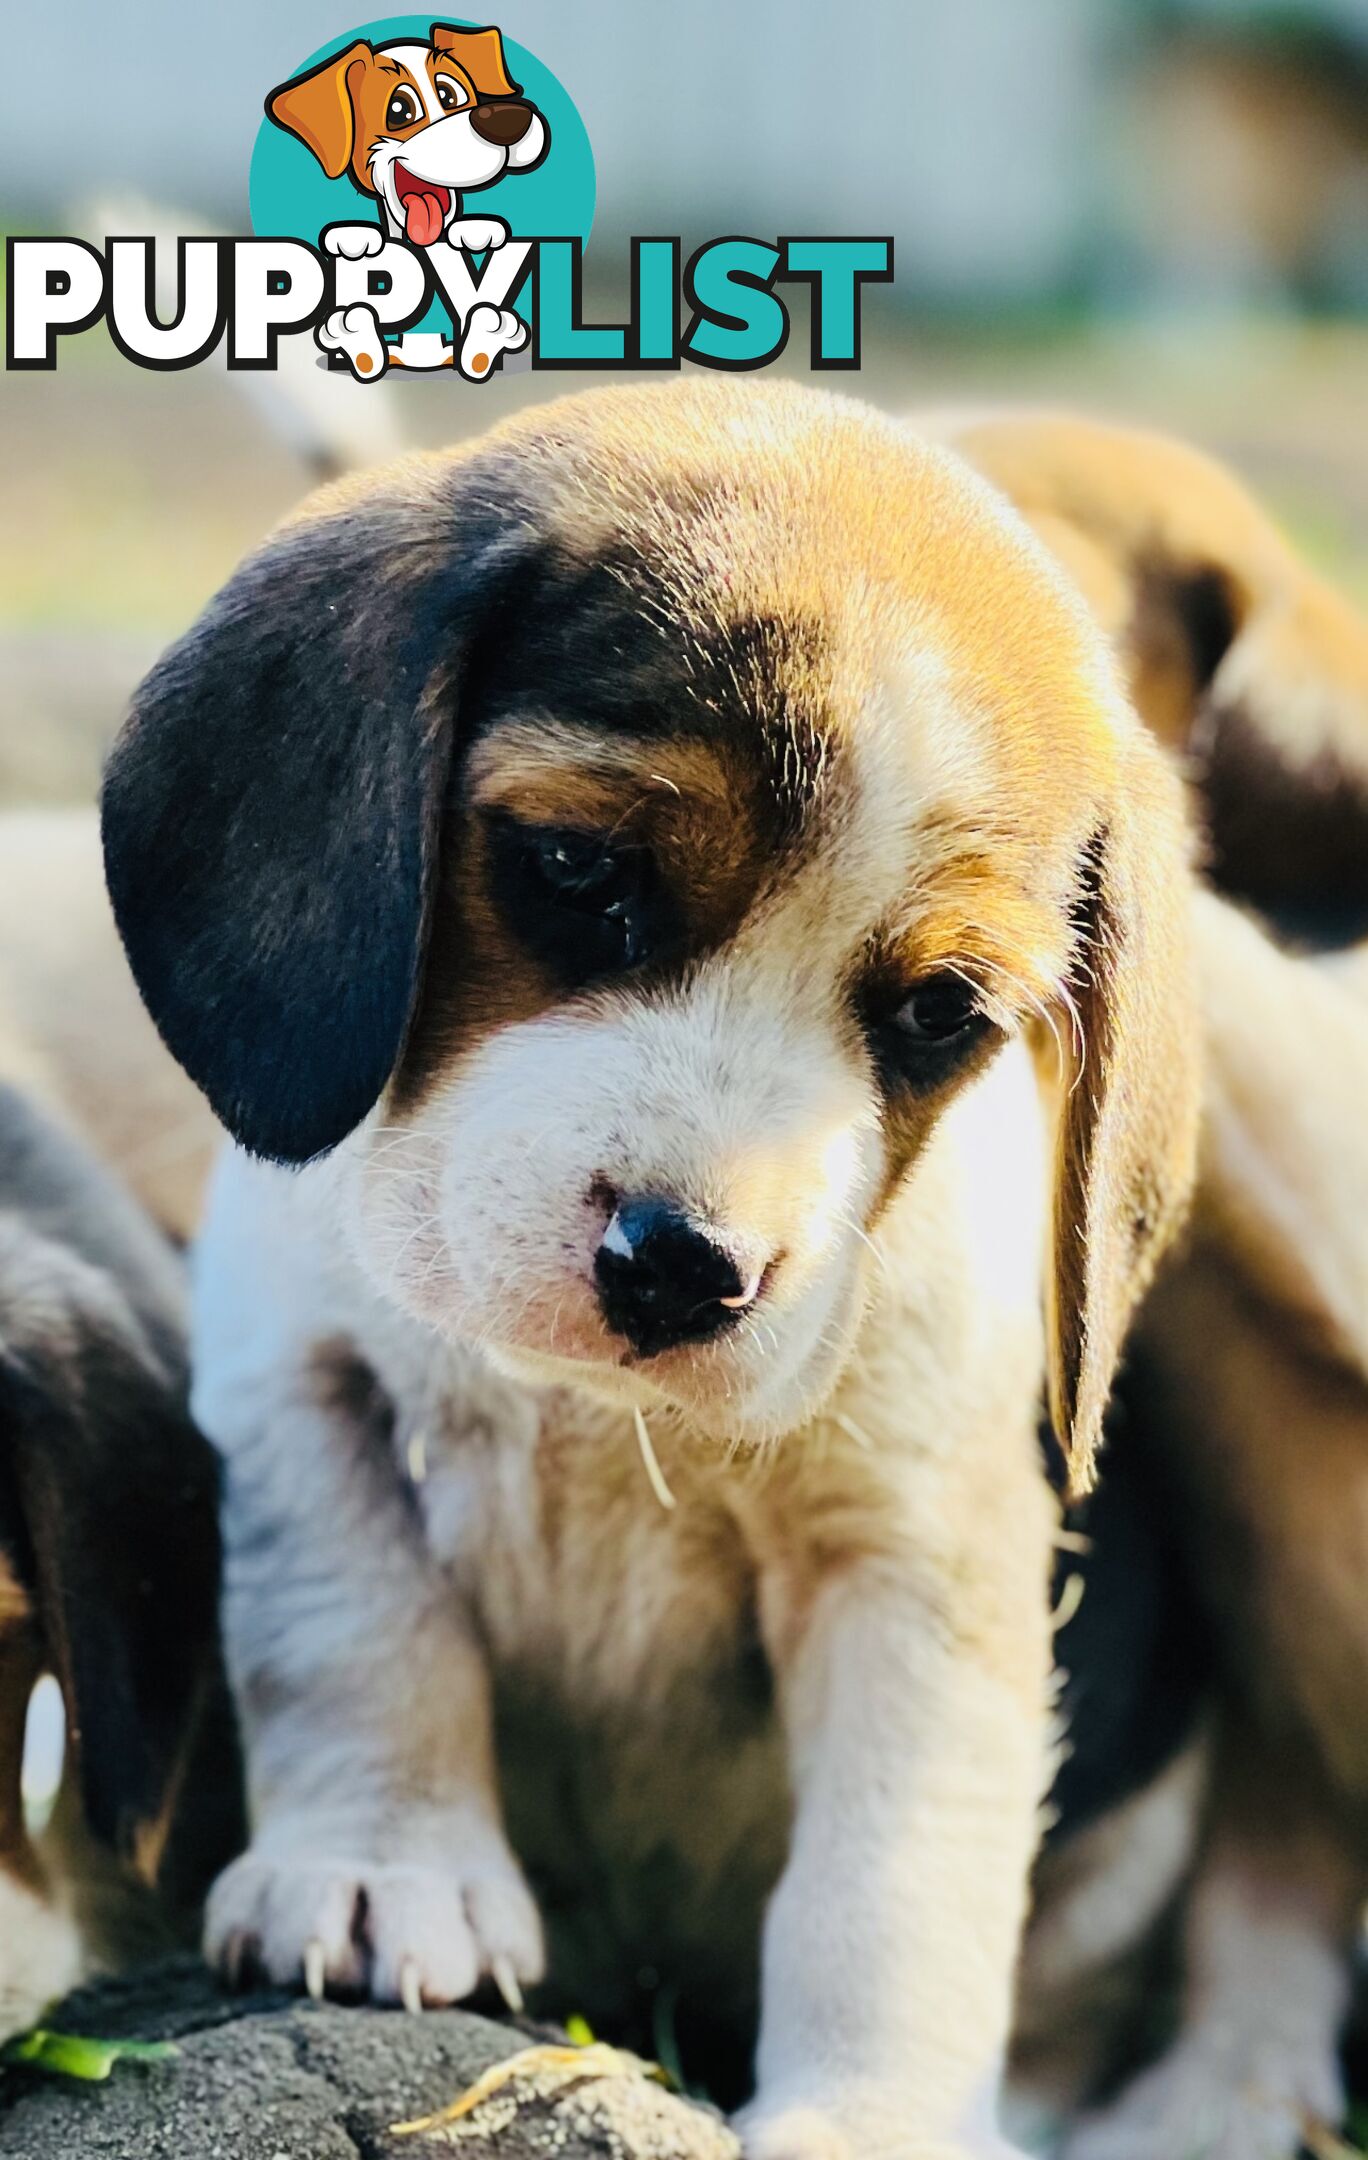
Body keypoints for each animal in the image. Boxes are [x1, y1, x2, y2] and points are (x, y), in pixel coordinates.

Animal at [104, 380, 1192, 2151]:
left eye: (940, 1013)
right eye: (574, 869)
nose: (683, 1267)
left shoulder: (915, 1564)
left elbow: (890, 1880)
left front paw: (872, 2118)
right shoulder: (295, 1393)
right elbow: (355, 1633)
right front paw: (383, 1867)